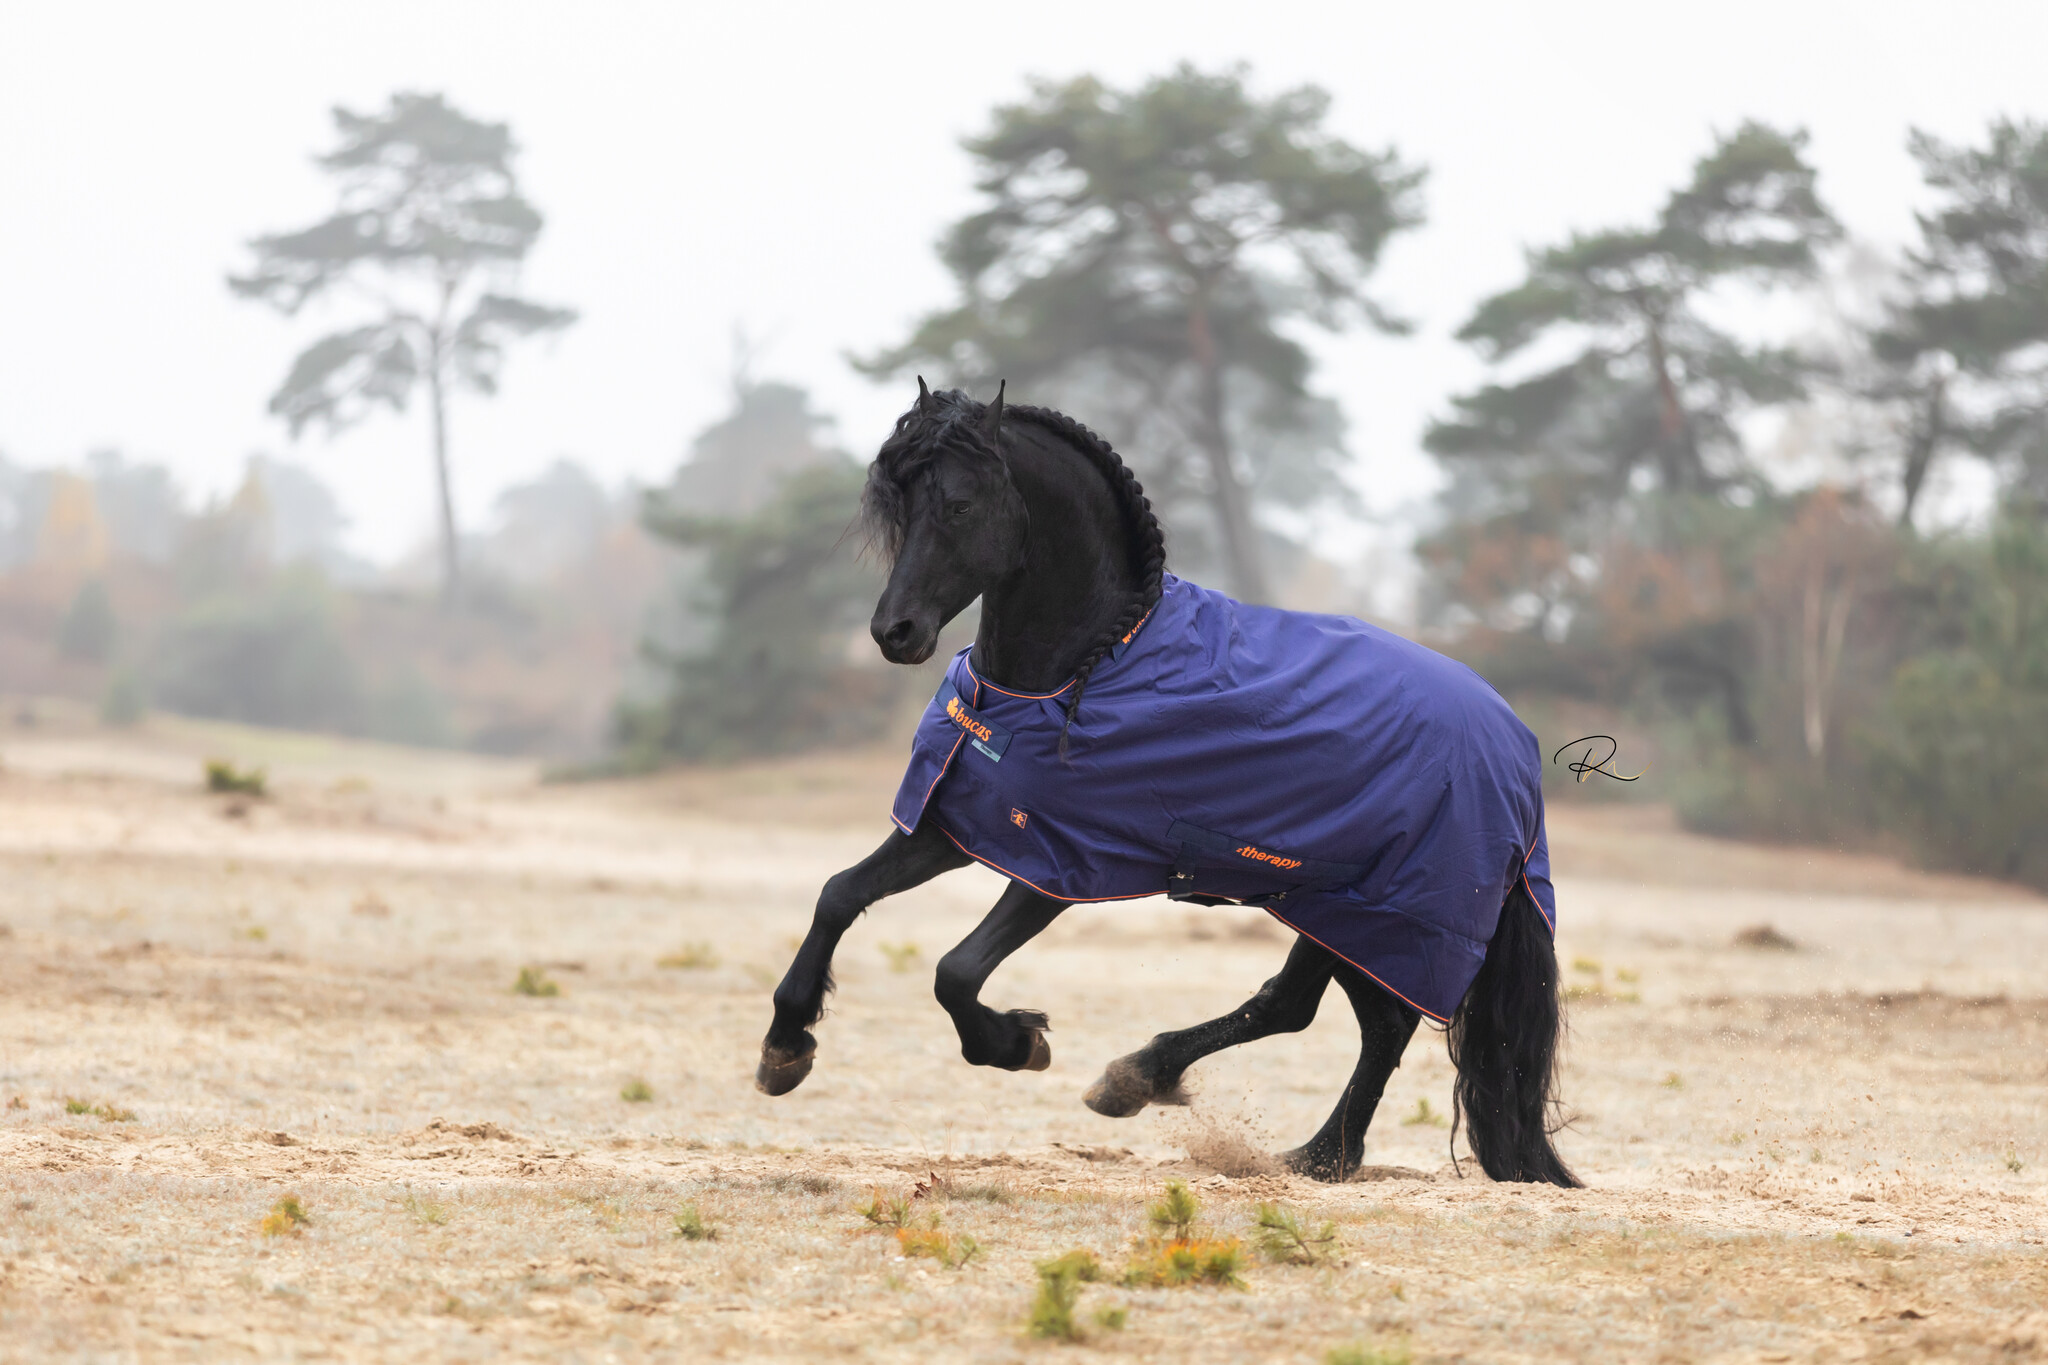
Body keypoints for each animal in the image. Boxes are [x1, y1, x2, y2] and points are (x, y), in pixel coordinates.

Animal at [761, 382, 1572, 1186]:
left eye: (960, 505)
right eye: (897, 507)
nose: (894, 632)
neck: (1082, 665)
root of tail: (1514, 743)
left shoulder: (1059, 866)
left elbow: (954, 973)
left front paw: (1019, 1042)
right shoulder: (957, 825)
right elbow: (838, 895)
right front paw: (785, 1047)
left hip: (1382, 910)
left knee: (1362, 1019)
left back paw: (1280, 1139)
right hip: (1329, 903)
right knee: (1322, 1011)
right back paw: (1226, 1115)